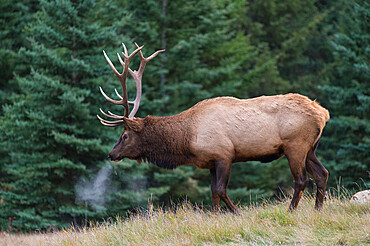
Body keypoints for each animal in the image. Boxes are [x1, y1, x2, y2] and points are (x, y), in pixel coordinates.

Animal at [97, 41, 330, 212]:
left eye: (125, 135)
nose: (111, 154)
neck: (188, 139)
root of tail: (323, 113)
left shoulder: (224, 154)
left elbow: (220, 190)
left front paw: (236, 213)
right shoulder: (209, 162)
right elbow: (212, 192)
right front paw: (216, 215)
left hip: (295, 145)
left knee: (301, 179)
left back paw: (291, 210)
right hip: (310, 148)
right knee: (322, 173)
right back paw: (318, 209)